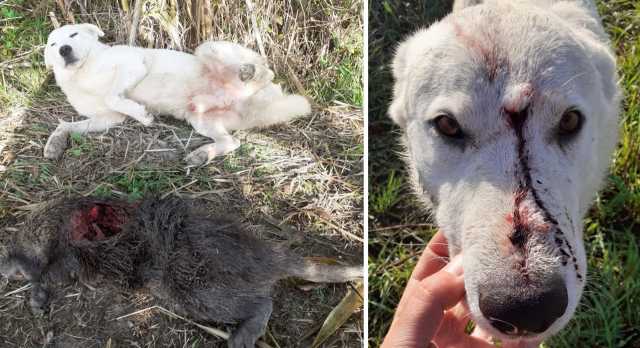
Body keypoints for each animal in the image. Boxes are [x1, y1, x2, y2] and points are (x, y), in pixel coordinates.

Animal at [0, 197, 360, 346]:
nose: (7, 264)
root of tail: (267, 257)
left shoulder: (72, 256)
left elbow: (51, 274)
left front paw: (33, 289)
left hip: (192, 286)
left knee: (260, 303)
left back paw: (242, 336)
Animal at [43, 24, 312, 166]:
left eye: (73, 35)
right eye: (53, 45)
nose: (64, 50)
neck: (83, 74)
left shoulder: (133, 65)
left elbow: (113, 95)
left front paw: (143, 116)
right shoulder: (108, 118)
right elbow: (64, 125)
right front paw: (54, 144)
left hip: (209, 47)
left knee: (266, 70)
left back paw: (249, 72)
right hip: (199, 118)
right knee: (232, 142)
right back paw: (202, 154)